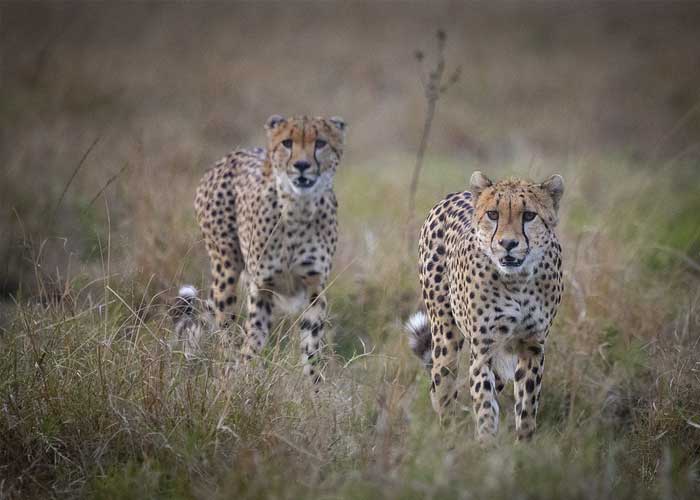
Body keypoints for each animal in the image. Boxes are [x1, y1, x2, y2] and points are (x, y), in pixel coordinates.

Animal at [190, 115, 346, 380]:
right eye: (287, 143)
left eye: (320, 143)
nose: (302, 165)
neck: (298, 208)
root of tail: (231, 155)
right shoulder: (261, 287)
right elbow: (253, 339)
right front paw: (244, 378)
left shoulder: (314, 288)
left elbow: (311, 347)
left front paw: (313, 387)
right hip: (226, 270)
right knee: (224, 327)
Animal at [404, 172, 564, 442]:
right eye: (493, 214)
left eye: (529, 215)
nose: (508, 243)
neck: (517, 280)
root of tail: (457, 193)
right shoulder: (483, 349)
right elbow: (485, 403)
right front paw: (486, 444)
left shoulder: (532, 345)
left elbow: (527, 404)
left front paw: (524, 444)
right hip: (445, 336)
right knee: (442, 388)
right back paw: (447, 436)